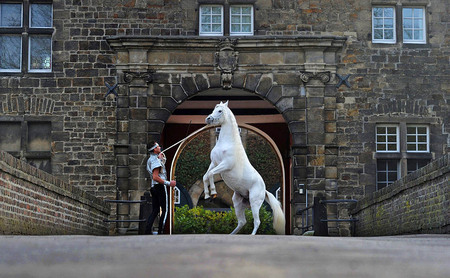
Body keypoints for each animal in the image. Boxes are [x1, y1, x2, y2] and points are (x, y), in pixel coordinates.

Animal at [203, 100, 284, 235]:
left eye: (220, 111)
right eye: (214, 109)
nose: (208, 119)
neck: (228, 143)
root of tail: (264, 190)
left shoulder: (225, 165)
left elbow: (210, 174)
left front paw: (213, 193)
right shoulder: (214, 163)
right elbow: (206, 176)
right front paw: (207, 196)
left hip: (254, 203)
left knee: (257, 221)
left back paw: (252, 235)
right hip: (237, 203)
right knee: (242, 222)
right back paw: (231, 234)